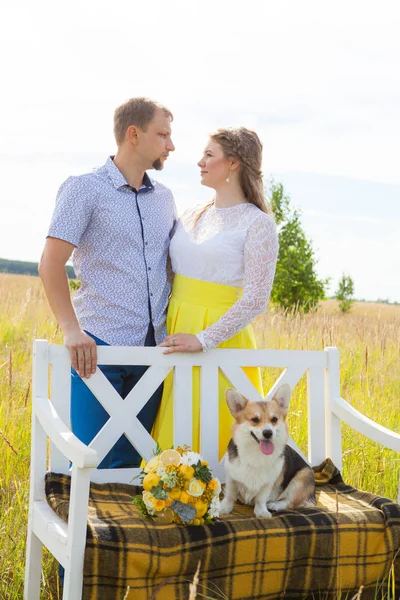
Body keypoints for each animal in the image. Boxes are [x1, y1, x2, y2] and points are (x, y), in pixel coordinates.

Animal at [219, 386, 316, 516]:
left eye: (274, 419)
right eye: (255, 419)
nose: (268, 433)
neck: (256, 454)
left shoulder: (268, 484)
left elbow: (261, 499)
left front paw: (262, 513)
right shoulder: (231, 479)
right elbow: (229, 496)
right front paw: (223, 509)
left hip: (302, 478)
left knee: (290, 502)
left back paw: (275, 505)